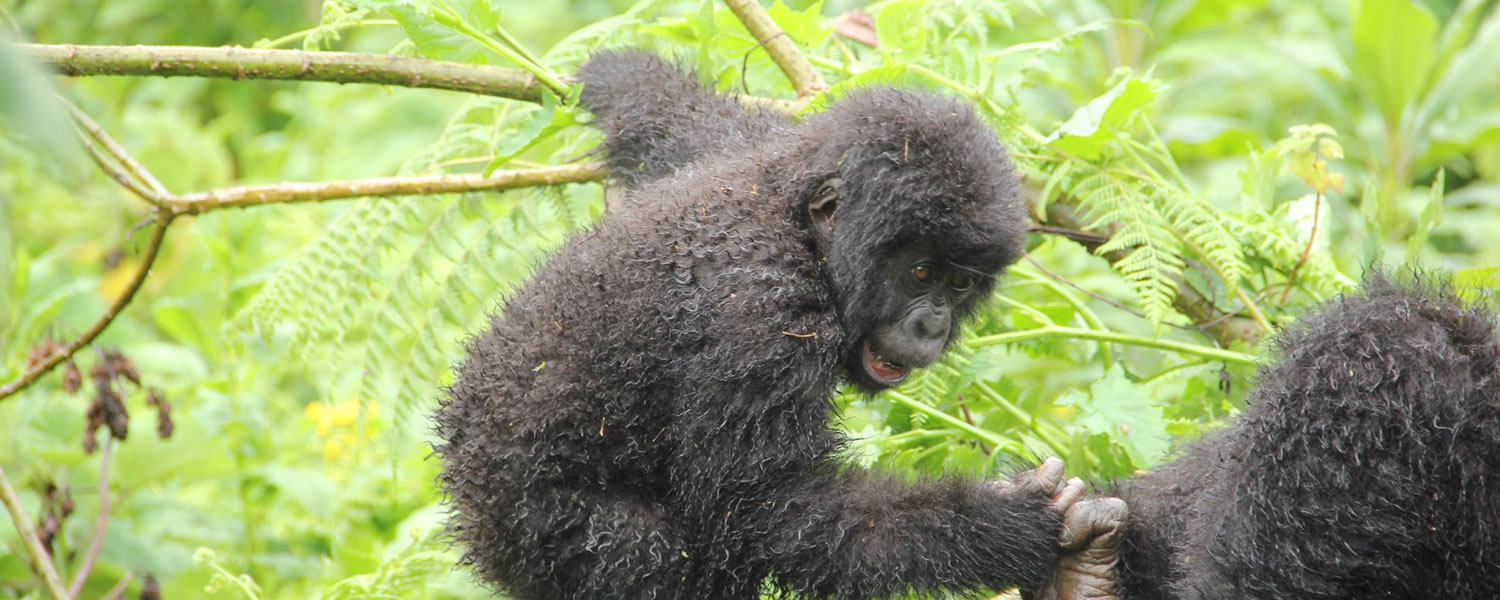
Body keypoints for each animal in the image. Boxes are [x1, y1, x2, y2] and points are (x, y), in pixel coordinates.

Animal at [432, 51, 1116, 600]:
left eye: (961, 285)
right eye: (921, 273)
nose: (933, 327)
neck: (799, 232)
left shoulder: (763, 145)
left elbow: (678, 119)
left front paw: (608, 71)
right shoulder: (762, 320)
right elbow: (764, 510)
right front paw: (1009, 524)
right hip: (549, 532)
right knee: (660, 558)